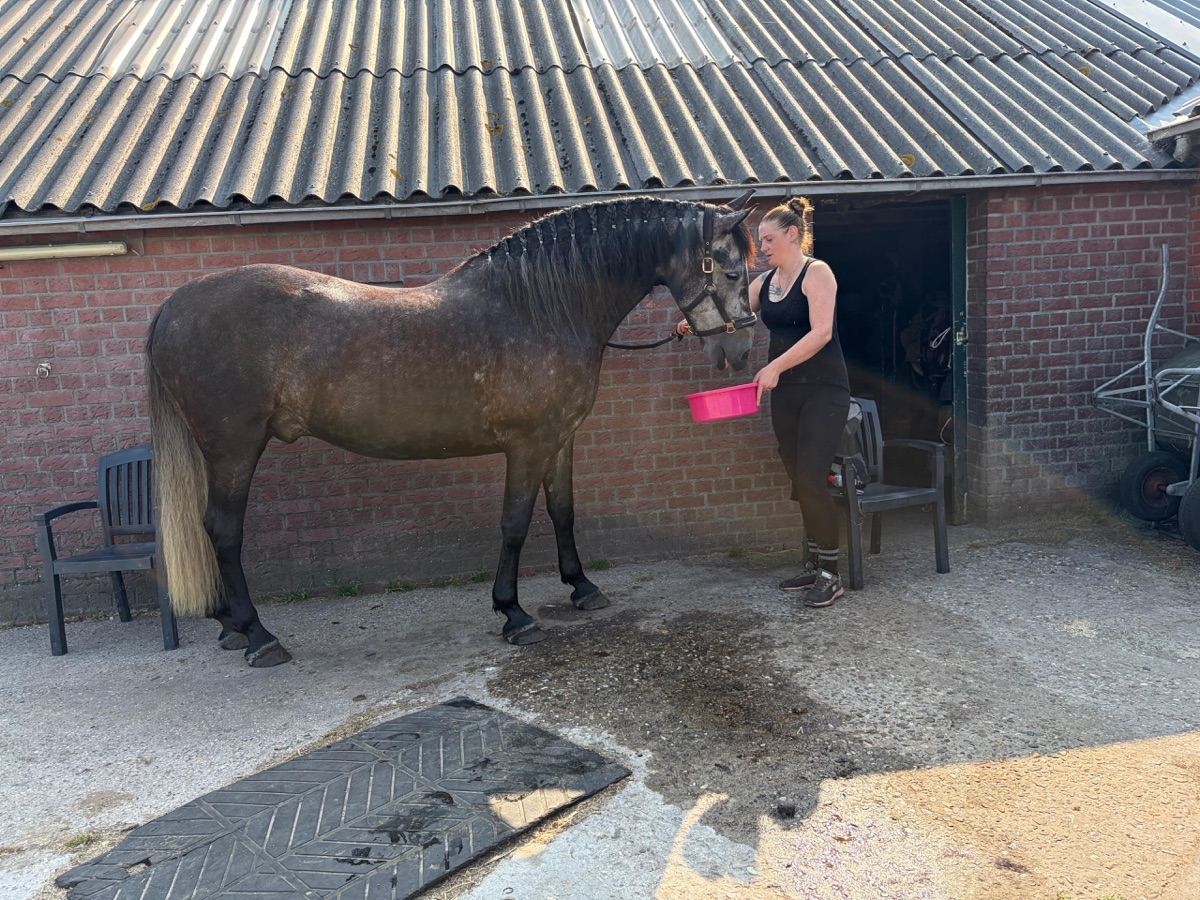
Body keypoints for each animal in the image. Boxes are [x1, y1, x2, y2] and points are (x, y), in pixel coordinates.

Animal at [145, 193, 757, 667]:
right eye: (731, 272)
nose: (741, 351)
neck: (541, 307)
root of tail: (173, 305)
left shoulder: (560, 438)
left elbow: (563, 511)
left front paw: (582, 587)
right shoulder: (527, 446)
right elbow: (515, 524)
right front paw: (514, 613)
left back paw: (230, 626)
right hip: (234, 447)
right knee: (224, 531)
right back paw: (258, 635)